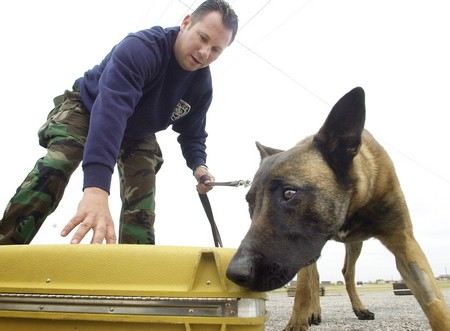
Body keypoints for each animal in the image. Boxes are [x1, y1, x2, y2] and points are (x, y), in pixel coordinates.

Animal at [229, 88, 450, 331]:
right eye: (250, 202)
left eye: (289, 193)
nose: (234, 273)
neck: (353, 201)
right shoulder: (304, 248)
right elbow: (304, 288)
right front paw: (297, 322)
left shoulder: (404, 242)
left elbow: (433, 299)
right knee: (314, 277)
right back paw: (313, 311)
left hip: (354, 244)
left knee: (347, 272)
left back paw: (358, 308)